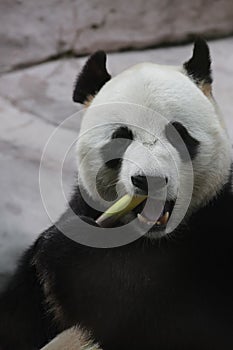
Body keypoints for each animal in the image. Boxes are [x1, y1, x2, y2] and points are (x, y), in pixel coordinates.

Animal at [0, 38, 233, 350]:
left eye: (179, 134)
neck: (151, 241)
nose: (150, 179)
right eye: (121, 138)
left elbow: (177, 322)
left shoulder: (215, 234)